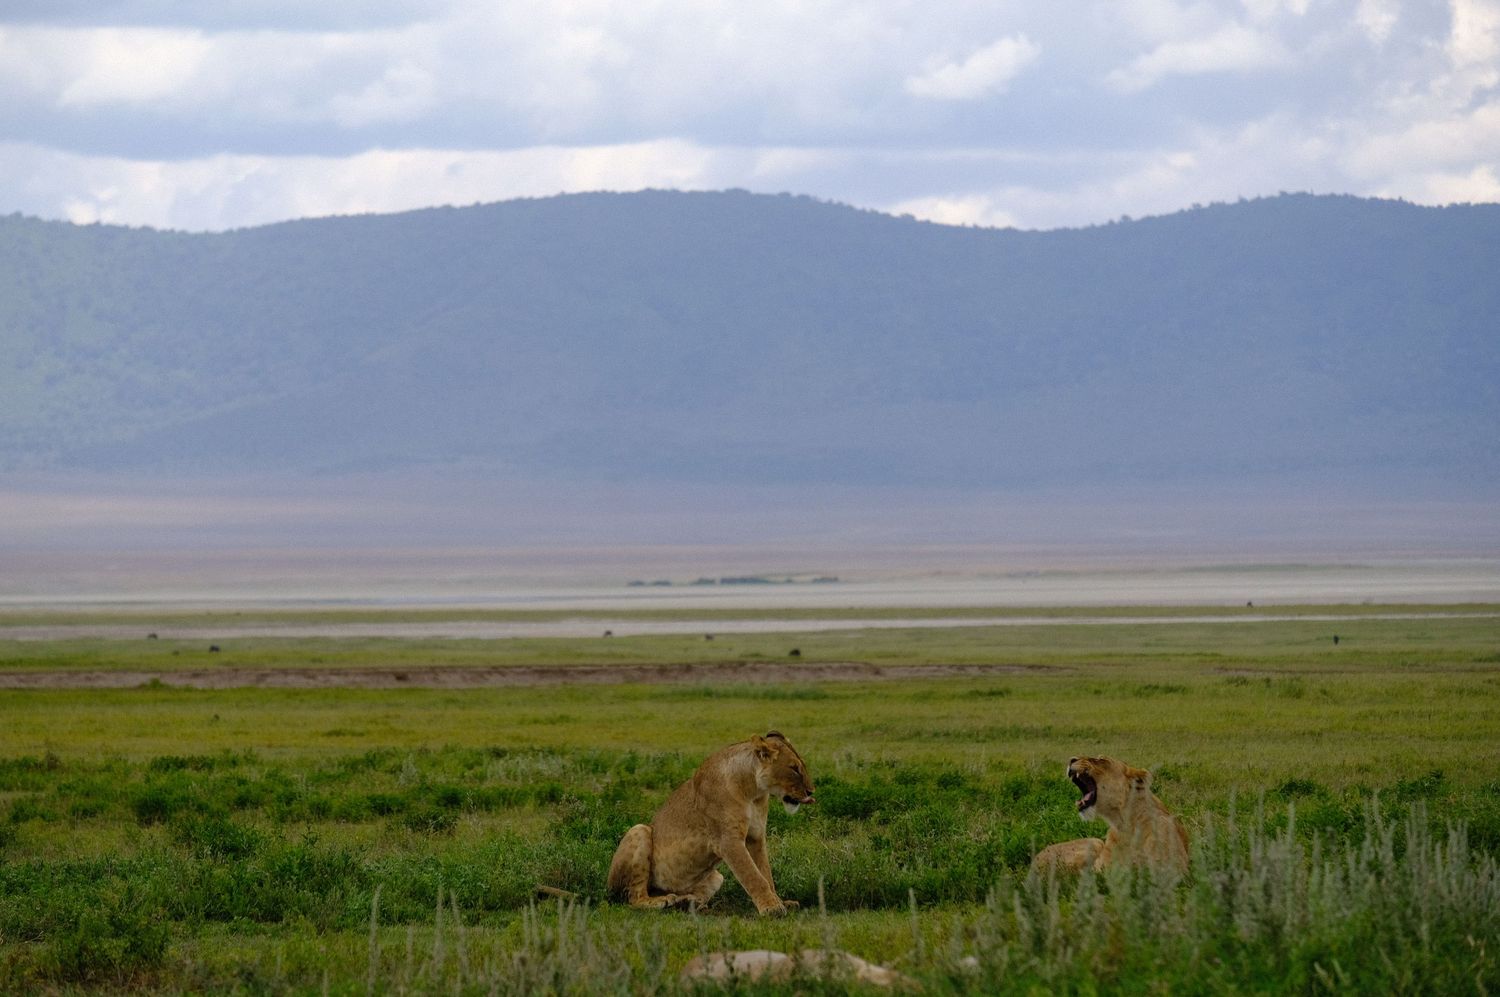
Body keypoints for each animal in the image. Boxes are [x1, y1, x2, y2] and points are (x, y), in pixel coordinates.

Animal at [606, 731, 814, 915]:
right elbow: (753, 876)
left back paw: (685, 902)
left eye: (801, 765)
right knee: (634, 897)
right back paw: (662, 901)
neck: (753, 792)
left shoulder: (756, 838)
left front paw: (780, 902)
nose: (811, 792)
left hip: (716, 877)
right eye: (794, 768)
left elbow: (765, 873)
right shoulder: (728, 841)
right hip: (639, 830)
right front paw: (772, 908)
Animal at [1031, 756, 1189, 875]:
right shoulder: (1100, 868)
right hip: (1094, 843)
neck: (1124, 823)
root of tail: (1032, 865)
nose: (1071, 759)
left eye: (1101, 759)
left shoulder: (1175, 870)